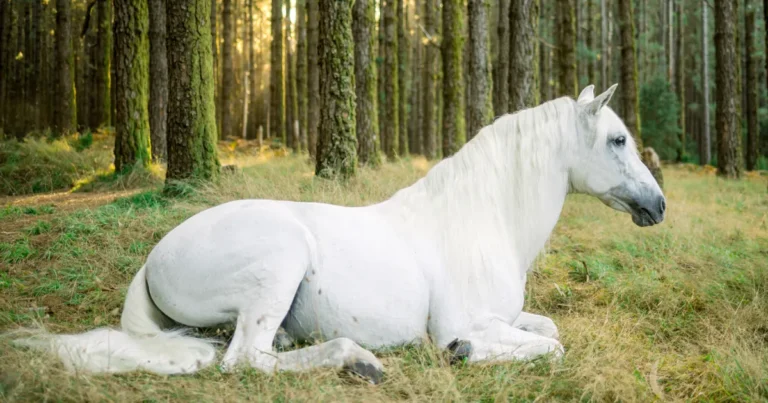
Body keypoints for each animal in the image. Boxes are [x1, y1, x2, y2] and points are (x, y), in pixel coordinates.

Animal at [13, 84, 665, 384]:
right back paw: (357, 361)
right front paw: (464, 352)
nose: (658, 206)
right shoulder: (465, 319)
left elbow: (547, 329)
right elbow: (549, 346)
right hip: (279, 263)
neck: (481, 219)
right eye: (617, 139)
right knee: (246, 359)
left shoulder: (506, 314)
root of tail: (154, 258)